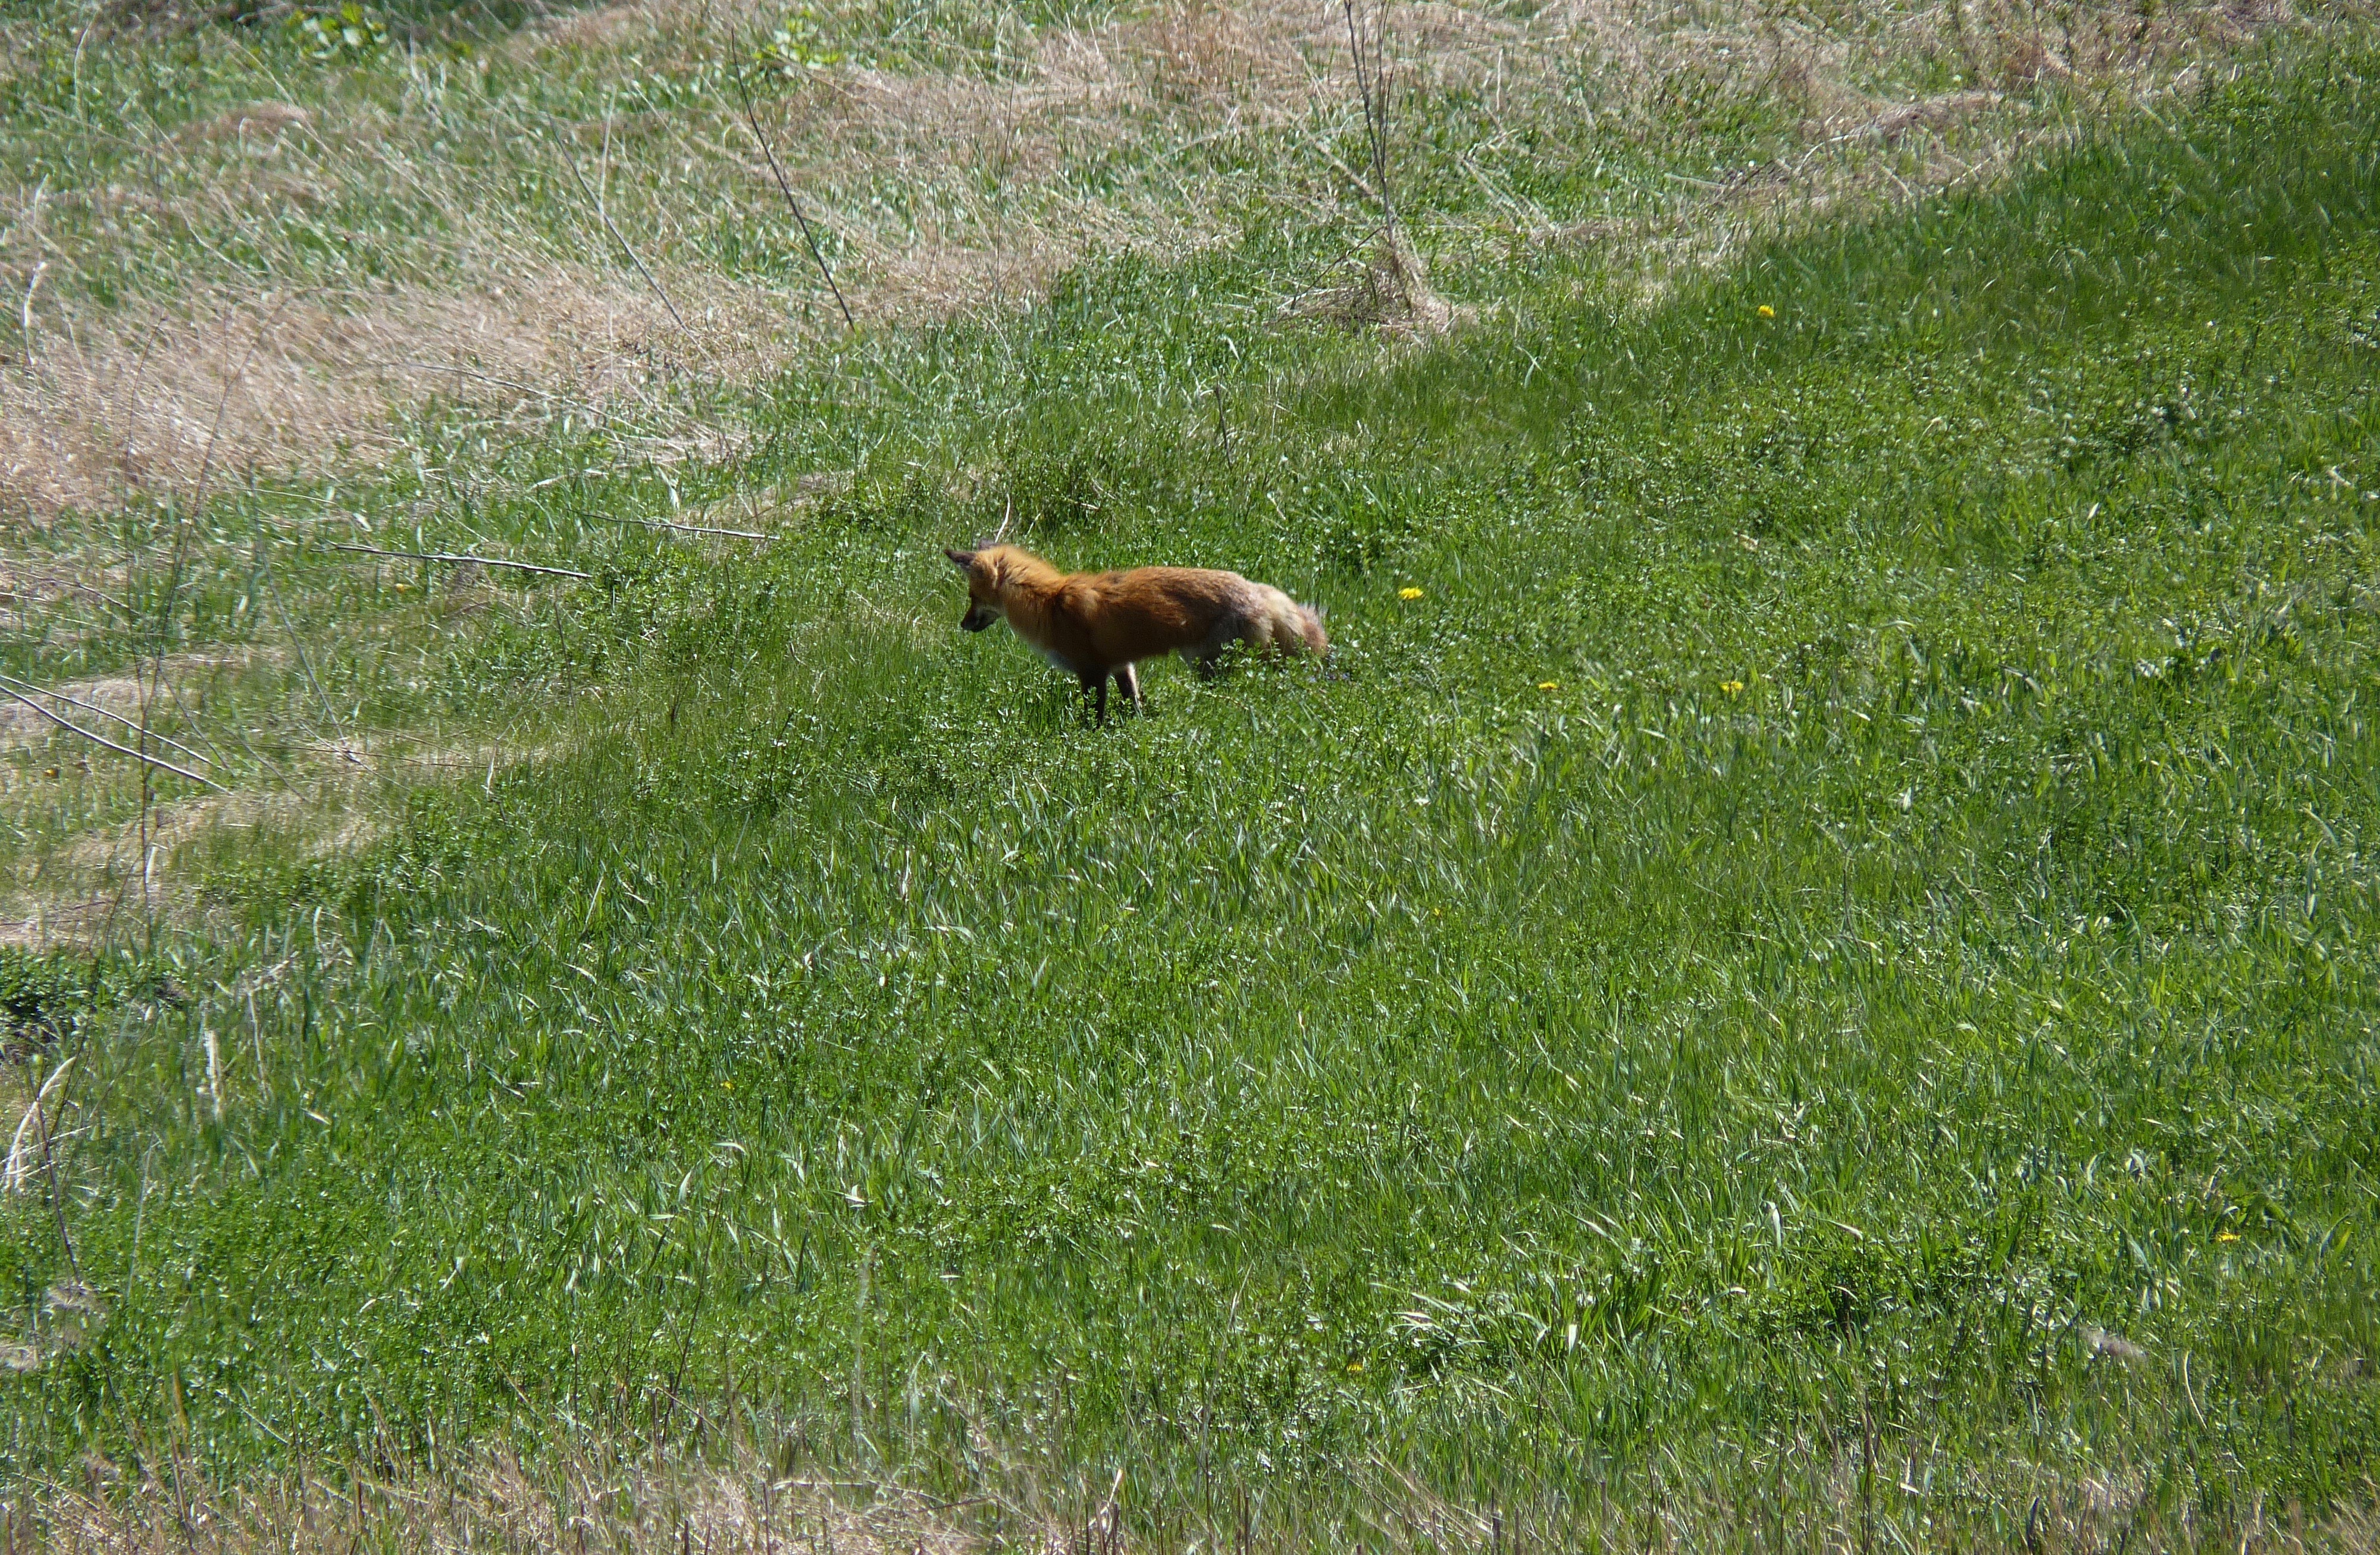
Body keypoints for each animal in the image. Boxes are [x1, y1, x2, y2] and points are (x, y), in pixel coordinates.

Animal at [944, 544, 1328, 722]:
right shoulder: (1121, 666)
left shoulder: (1091, 671)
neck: (1049, 604)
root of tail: (1256, 590)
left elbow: (1093, 718)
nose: (962, 625)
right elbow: (1134, 703)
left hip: (1211, 667)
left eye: (972, 597)